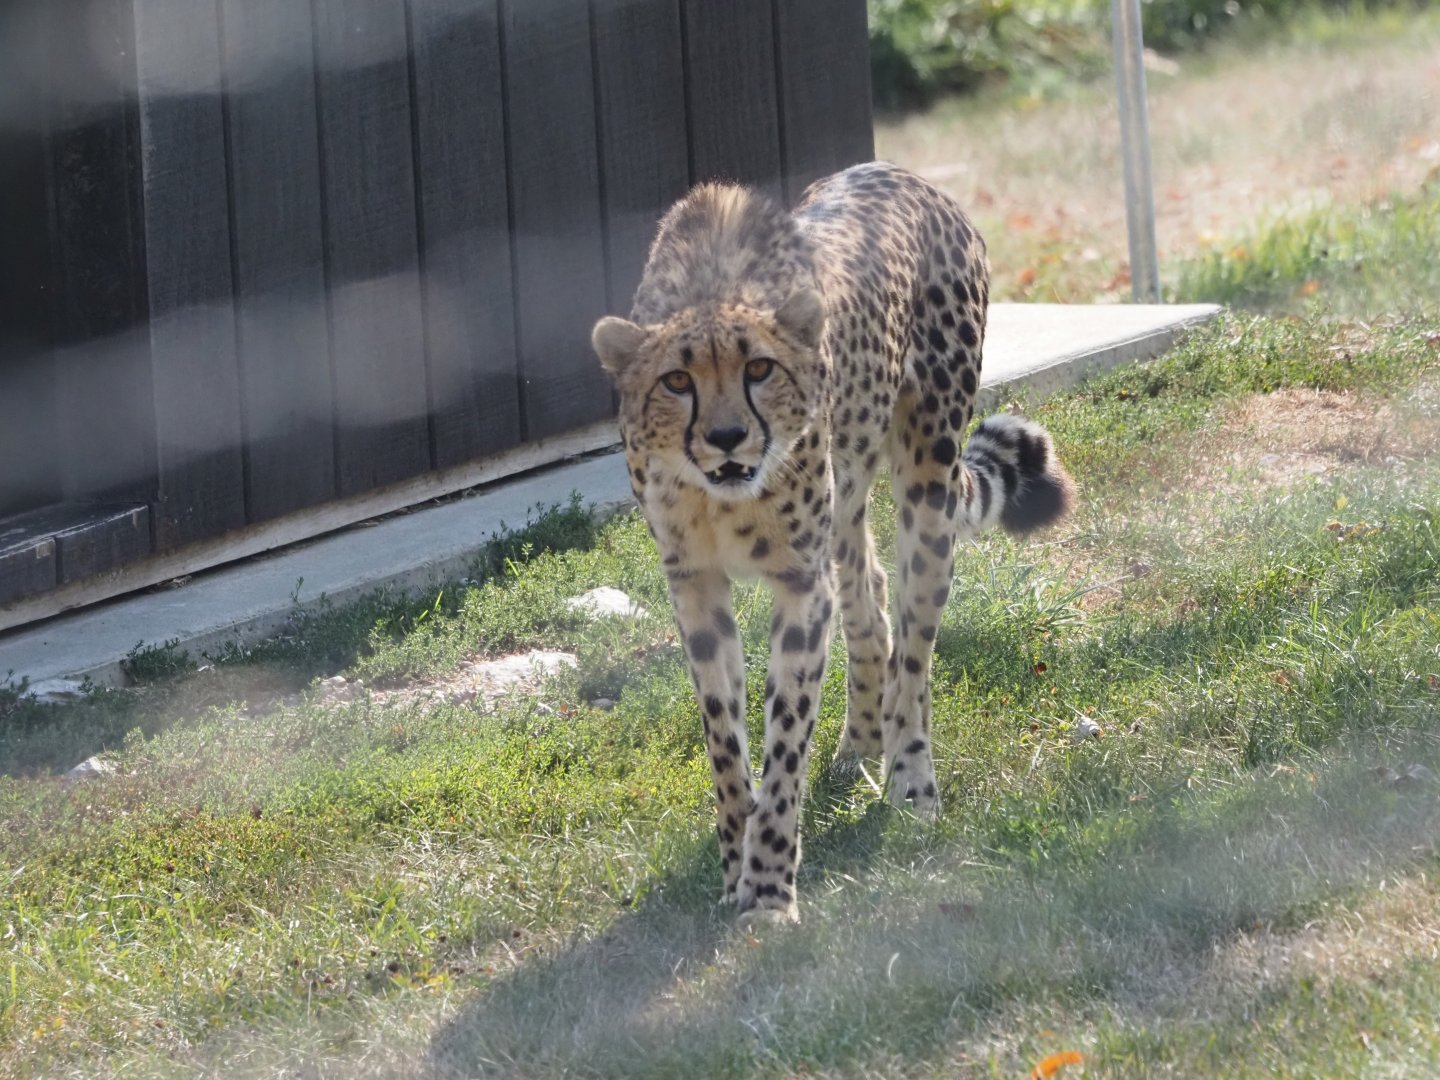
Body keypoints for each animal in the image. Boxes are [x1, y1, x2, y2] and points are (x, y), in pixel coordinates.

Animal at [591, 161, 1073, 921]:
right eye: (676, 380)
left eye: (760, 369)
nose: (727, 438)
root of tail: (908, 177)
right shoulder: (694, 583)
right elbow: (724, 736)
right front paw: (735, 862)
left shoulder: (798, 580)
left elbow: (785, 733)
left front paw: (767, 887)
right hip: (844, 507)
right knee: (870, 600)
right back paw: (860, 744)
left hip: (927, 482)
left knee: (915, 640)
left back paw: (910, 775)